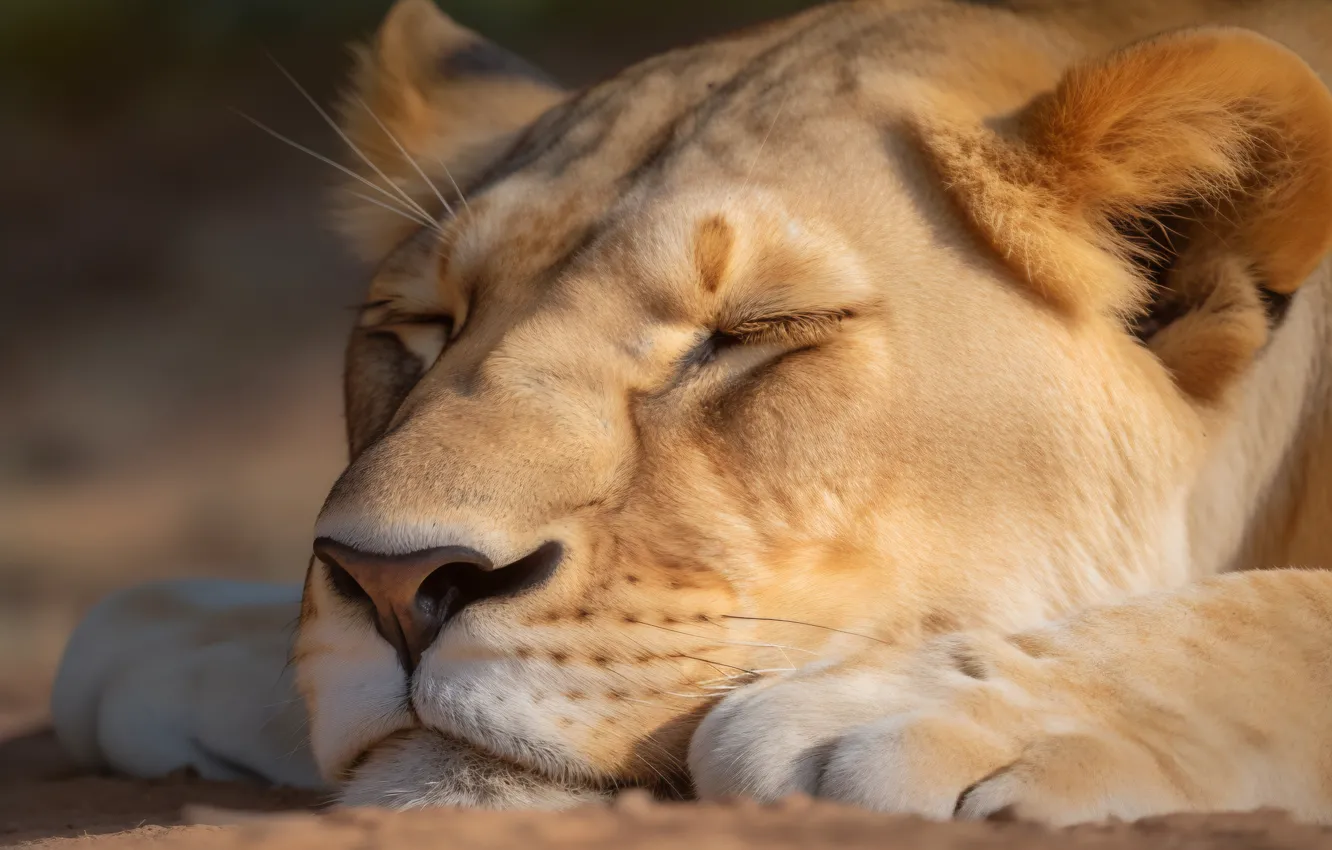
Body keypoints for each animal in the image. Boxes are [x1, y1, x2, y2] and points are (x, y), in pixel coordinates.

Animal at [49, 0, 1332, 825]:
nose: (393, 584)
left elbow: (1289, 608)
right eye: (423, 326)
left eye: (750, 334)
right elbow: (137, 619)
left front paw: (907, 706)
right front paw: (189, 641)